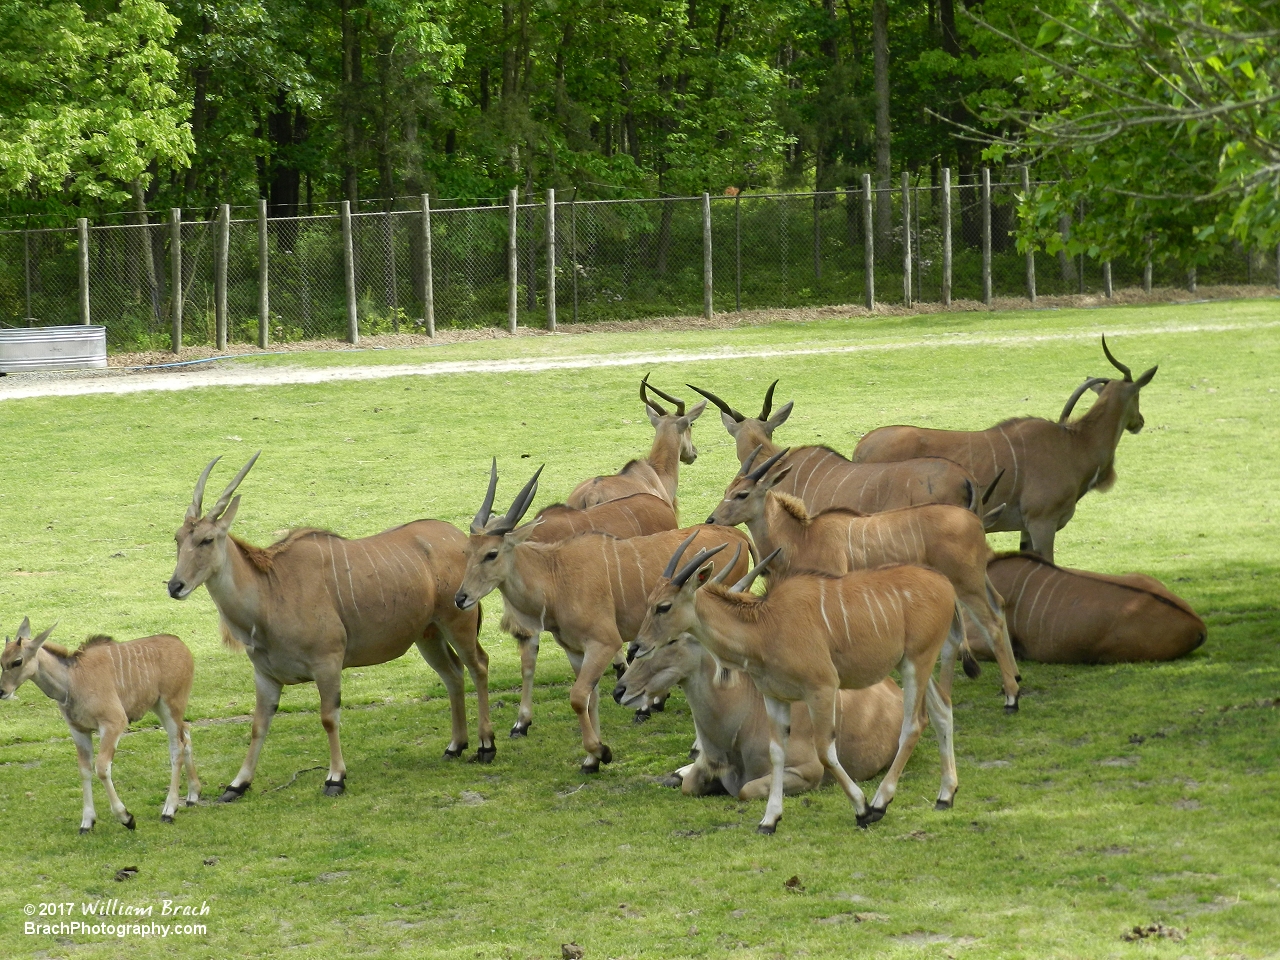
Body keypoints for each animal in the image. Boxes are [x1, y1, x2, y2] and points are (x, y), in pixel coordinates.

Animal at [0, 624, 197, 834]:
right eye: (1, 661)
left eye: (17, 661)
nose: (2, 691)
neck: (72, 679)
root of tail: (181, 645)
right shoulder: (79, 731)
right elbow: (84, 770)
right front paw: (87, 822)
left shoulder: (113, 723)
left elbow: (102, 768)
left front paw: (126, 818)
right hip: (159, 707)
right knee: (186, 732)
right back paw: (193, 794)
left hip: (171, 705)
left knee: (177, 747)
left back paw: (169, 810)